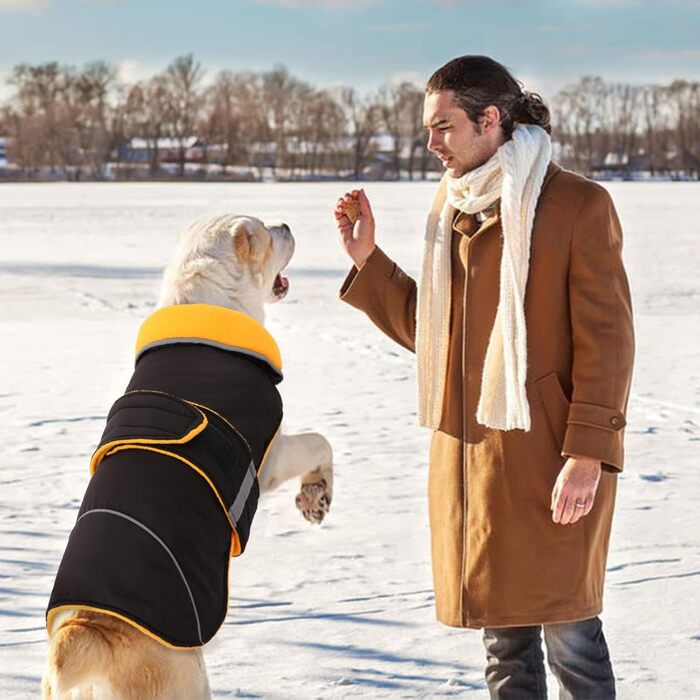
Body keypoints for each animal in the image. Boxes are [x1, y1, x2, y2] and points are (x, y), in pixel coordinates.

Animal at [42, 215, 334, 700]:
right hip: (187, 677)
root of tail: (89, 631)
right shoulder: (271, 456)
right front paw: (316, 498)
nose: (286, 224)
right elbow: (320, 442)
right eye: (266, 232)